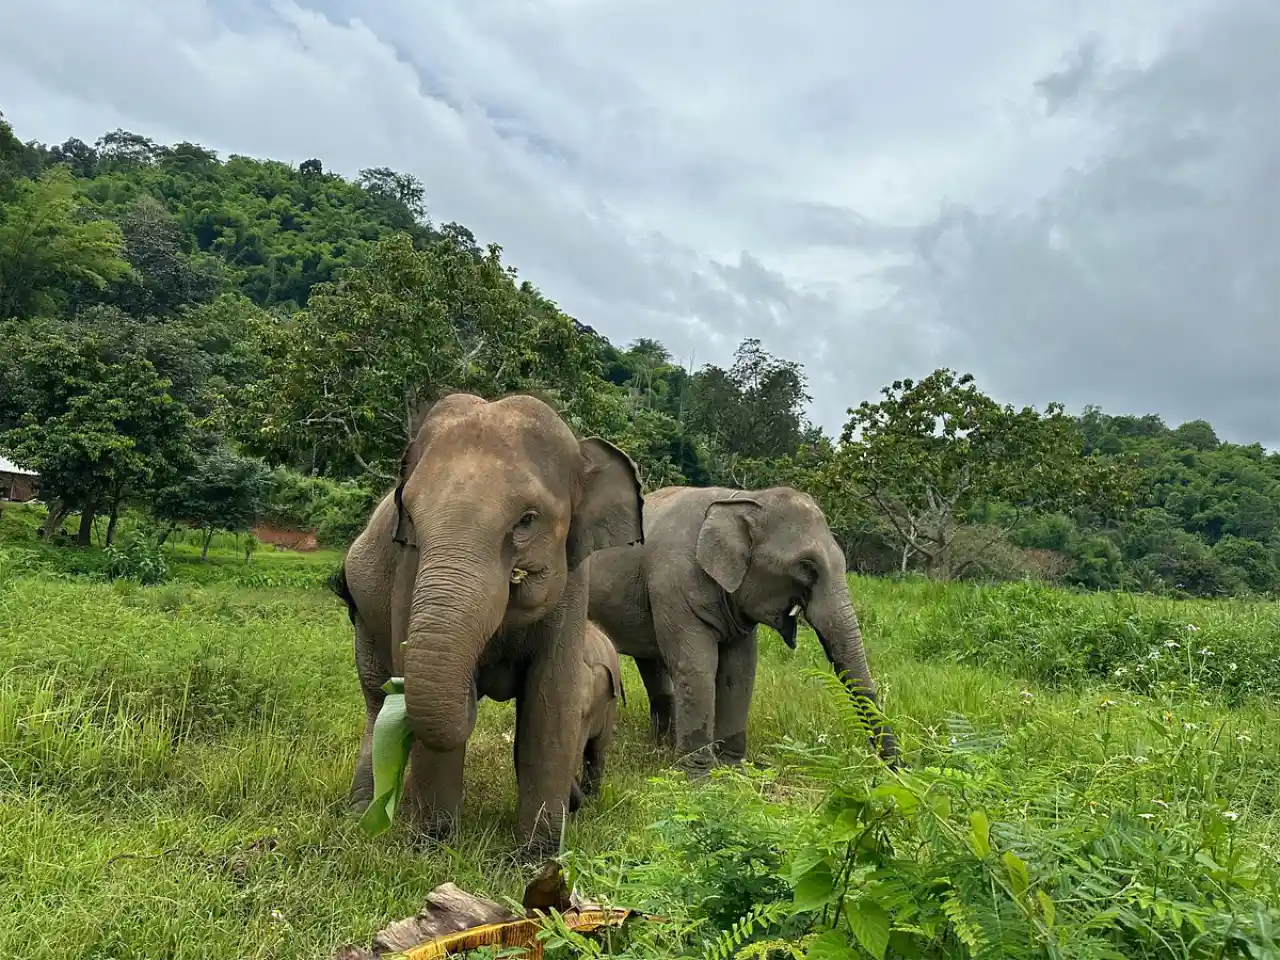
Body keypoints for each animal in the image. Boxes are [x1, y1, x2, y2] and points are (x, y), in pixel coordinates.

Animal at [331, 391, 644, 855]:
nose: (477, 682)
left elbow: (550, 699)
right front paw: (432, 847)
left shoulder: (574, 579)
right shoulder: (409, 568)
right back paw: (361, 813)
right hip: (365, 622)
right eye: (411, 515)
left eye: (527, 520)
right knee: (375, 700)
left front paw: (537, 855)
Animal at [586, 484, 900, 776]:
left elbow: (739, 670)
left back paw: (662, 744)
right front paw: (698, 778)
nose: (897, 770)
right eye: (806, 566)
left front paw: (732, 769)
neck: (742, 500)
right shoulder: (673, 582)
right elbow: (696, 665)